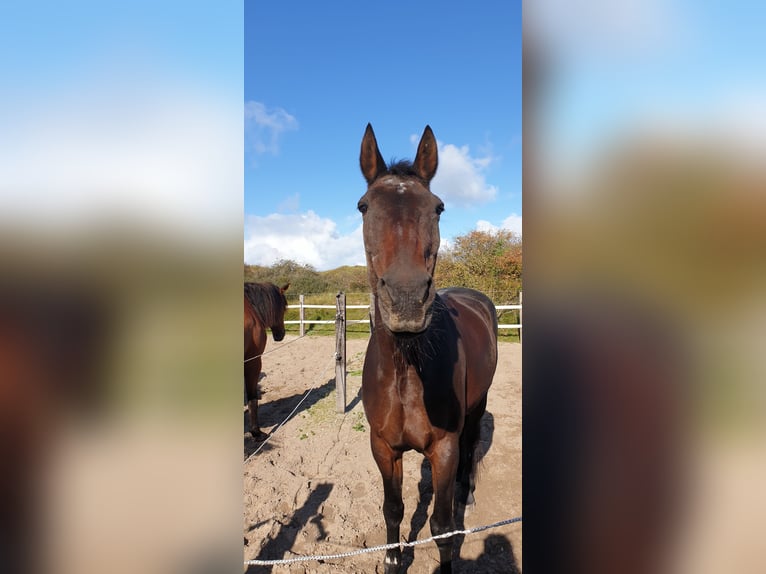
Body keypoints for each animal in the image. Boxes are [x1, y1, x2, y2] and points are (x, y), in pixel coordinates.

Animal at [358, 124, 498, 572]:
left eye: (437, 208)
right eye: (363, 206)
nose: (405, 300)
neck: (407, 370)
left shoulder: (444, 448)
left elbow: (440, 526)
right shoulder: (383, 447)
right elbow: (394, 509)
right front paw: (391, 560)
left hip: (477, 407)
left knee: (471, 449)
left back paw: (467, 494)